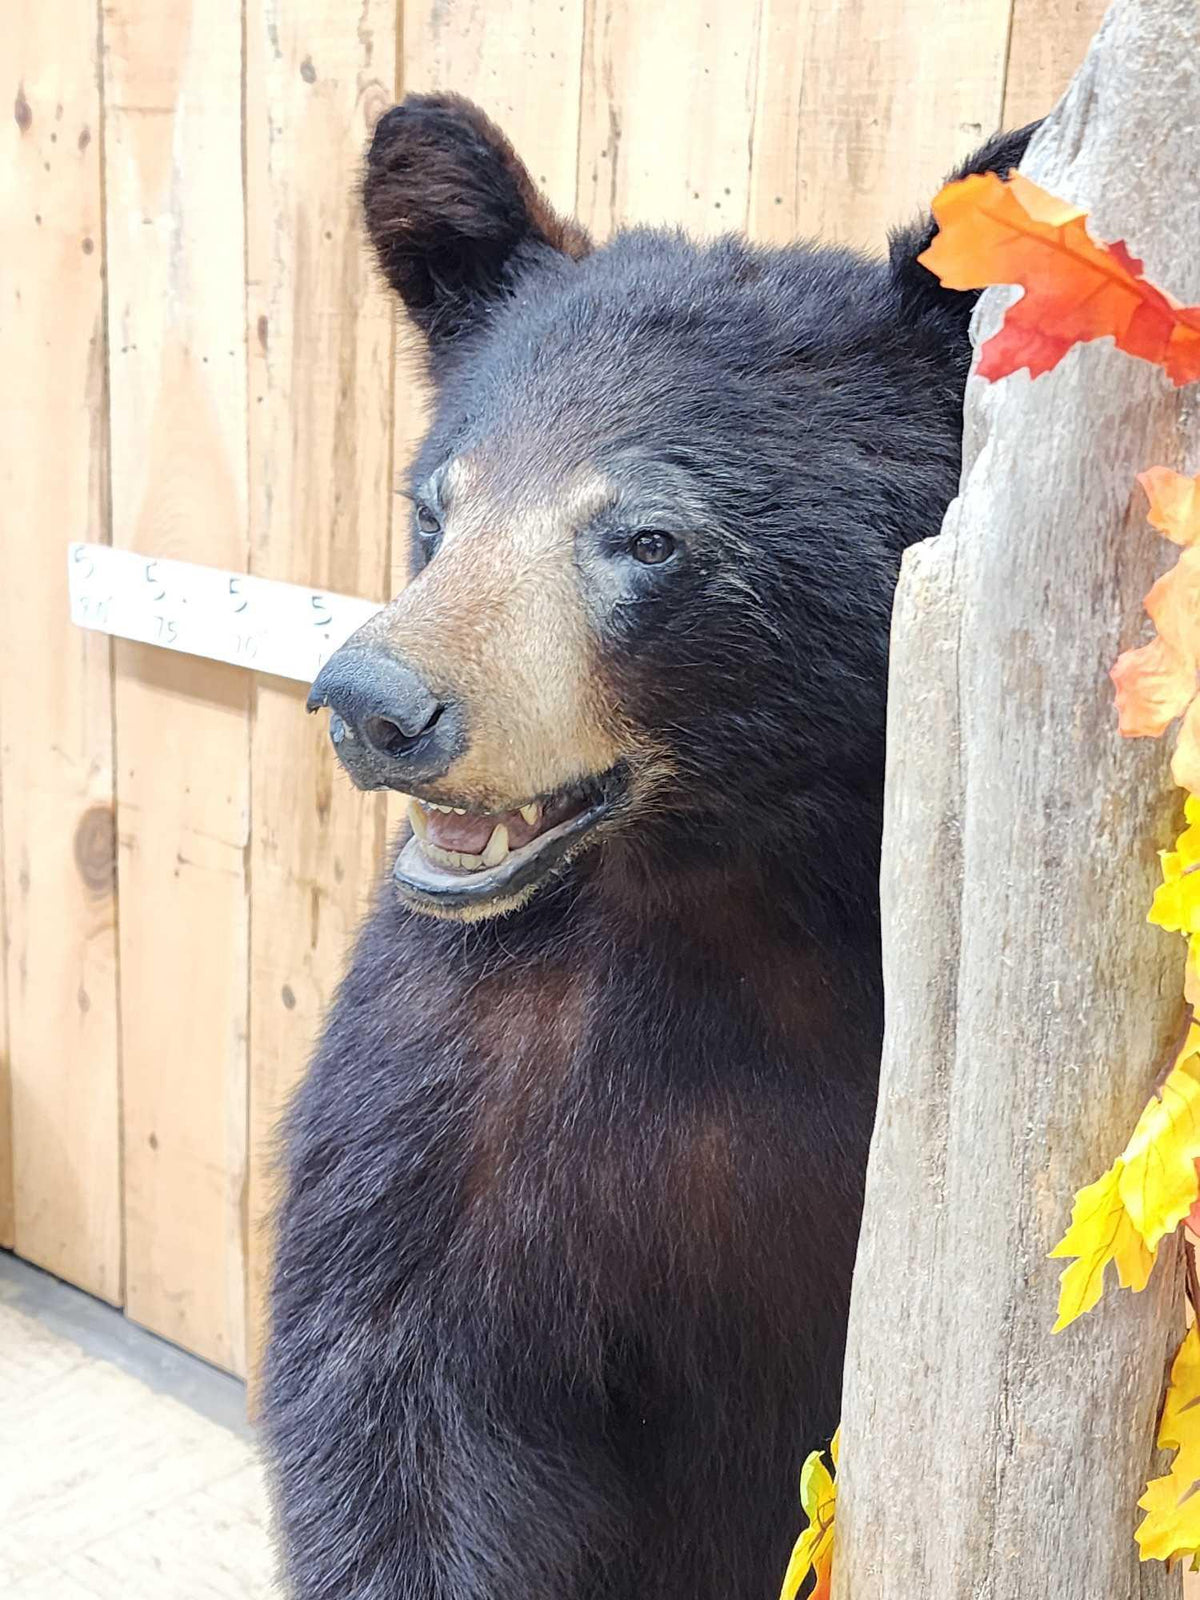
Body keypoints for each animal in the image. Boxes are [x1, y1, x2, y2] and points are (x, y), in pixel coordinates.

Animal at [262, 95, 1037, 1600]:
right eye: (439, 501)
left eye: (648, 536)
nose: (376, 704)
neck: (720, 885)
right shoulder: (453, 1078)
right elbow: (392, 1380)